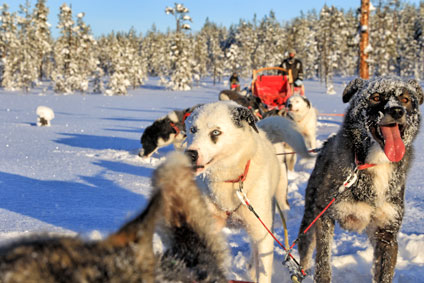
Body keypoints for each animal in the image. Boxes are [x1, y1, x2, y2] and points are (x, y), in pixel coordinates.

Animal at [298, 76, 424, 282]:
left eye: (405, 99)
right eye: (375, 96)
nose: (397, 111)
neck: (374, 163)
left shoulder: (387, 234)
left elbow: (384, 273)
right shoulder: (324, 216)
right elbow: (323, 265)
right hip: (310, 219)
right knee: (305, 253)